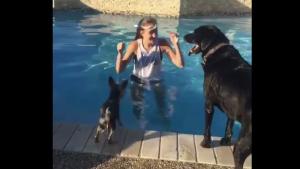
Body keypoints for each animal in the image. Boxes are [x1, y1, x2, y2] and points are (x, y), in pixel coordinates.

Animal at [184, 25, 252, 169]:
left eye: (196, 32)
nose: (184, 36)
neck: (216, 50)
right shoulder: (231, 108)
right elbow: (229, 125)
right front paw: (226, 140)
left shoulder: (208, 104)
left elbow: (207, 128)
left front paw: (205, 144)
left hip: (243, 142)